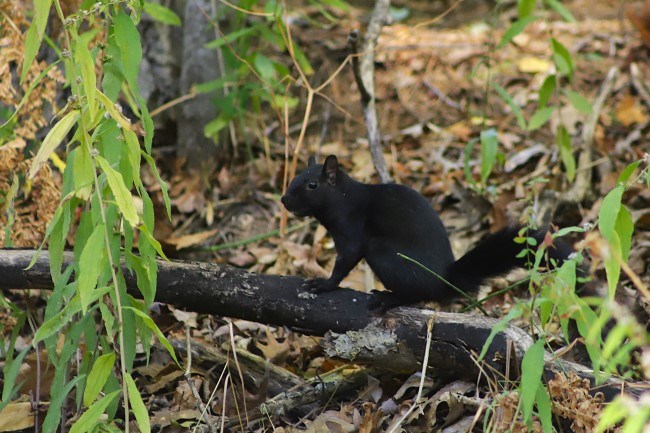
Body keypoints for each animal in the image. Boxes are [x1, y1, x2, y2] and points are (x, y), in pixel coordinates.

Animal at [281, 155, 583, 309]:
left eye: (312, 185)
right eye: (294, 176)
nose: (284, 200)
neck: (344, 198)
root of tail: (443, 281)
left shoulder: (351, 228)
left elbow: (346, 259)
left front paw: (323, 284)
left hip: (383, 253)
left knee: (415, 295)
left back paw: (388, 298)